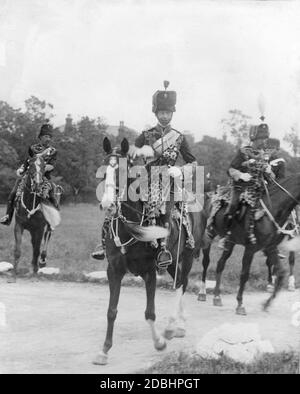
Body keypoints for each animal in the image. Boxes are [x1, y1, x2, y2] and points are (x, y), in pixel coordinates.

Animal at [6, 149, 59, 282]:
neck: (31, 201)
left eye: (44, 166)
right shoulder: (19, 226)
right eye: (30, 165)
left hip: (45, 228)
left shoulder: (39, 229)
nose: (37, 184)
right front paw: (14, 274)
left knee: (44, 240)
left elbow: (36, 250)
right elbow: (18, 250)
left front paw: (34, 272)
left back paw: (40, 263)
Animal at [94, 137, 206, 364]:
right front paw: (104, 350)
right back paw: (177, 326)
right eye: (103, 169)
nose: (108, 204)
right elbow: (111, 311)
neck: (130, 226)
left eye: (122, 170)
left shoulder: (149, 271)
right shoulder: (114, 270)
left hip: (187, 256)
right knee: (179, 282)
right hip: (171, 262)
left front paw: (159, 343)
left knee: (182, 284)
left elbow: (150, 313)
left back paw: (173, 326)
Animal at [199, 174, 300, 316]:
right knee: (206, 262)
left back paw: (217, 296)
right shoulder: (250, 248)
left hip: (230, 242)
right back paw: (202, 292)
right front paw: (240, 304)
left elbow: (281, 272)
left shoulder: (270, 247)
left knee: (220, 264)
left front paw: (267, 303)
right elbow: (244, 274)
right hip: (209, 234)